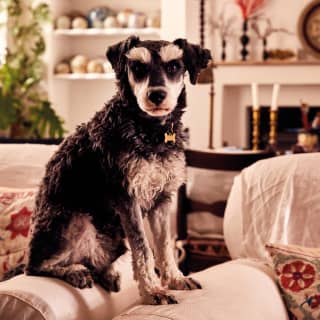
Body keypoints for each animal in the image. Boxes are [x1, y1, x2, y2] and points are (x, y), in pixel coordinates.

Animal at [26, 36, 211, 304]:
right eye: (138, 67)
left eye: (174, 66)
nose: (157, 95)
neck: (150, 131)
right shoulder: (127, 196)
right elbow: (143, 248)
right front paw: (153, 290)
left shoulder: (162, 198)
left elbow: (164, 244)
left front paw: (176, 279)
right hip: (72, 219)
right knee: (36, 267)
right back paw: (75, 272)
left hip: (113, 238)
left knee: (96, 261)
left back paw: (108, 273)